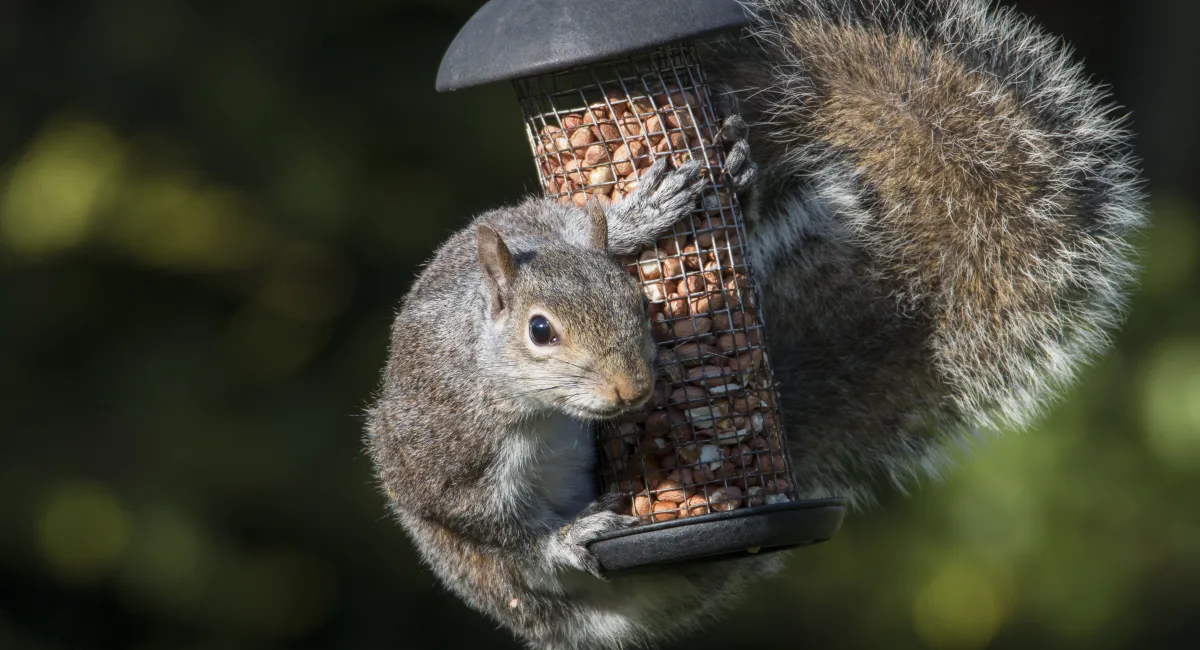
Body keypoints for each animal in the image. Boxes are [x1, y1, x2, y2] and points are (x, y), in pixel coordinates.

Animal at [365, 1, 1147, 649]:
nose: (630, 392)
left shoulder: (536, 223)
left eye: (637, 304)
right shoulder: (448, 454)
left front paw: (641, 213)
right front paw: (564, 539)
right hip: (487, 578)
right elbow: (499, 531)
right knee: (521, 574)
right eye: (539, 332)